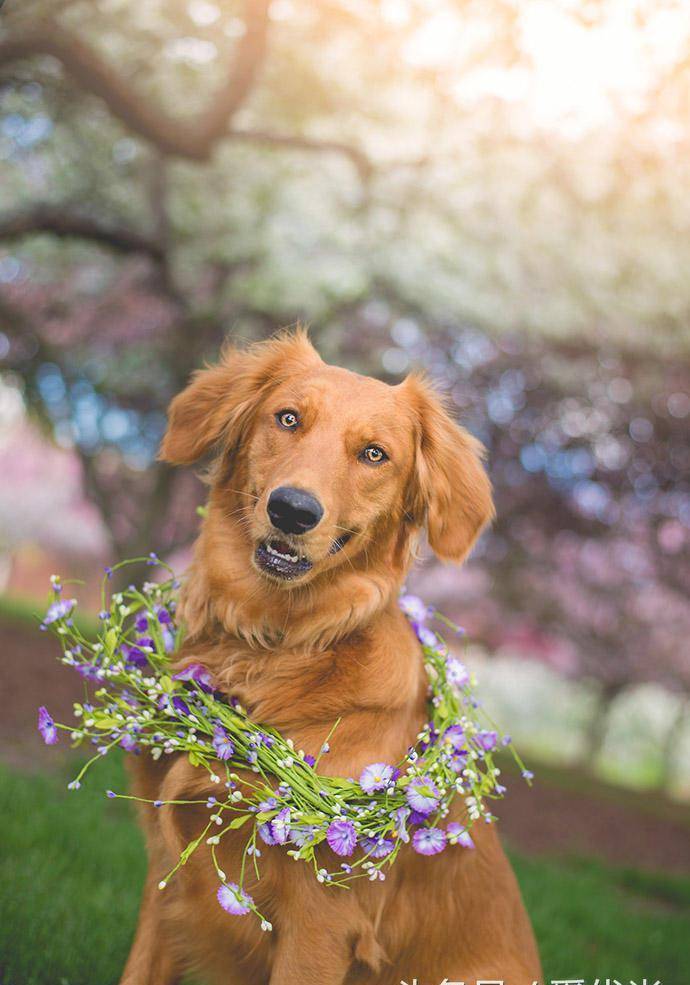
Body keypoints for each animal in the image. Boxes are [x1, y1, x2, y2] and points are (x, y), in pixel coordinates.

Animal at [121, 330, 540, 984]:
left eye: (374, 454)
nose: (292, 510)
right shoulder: (165, 878)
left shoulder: (322, 925)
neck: (276, 644)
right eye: (288, 418)